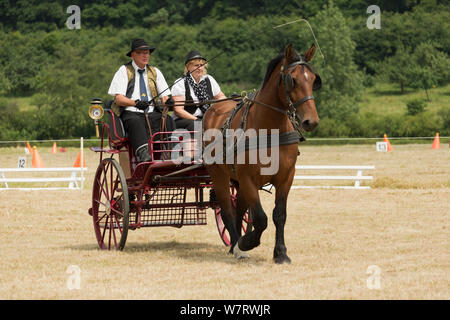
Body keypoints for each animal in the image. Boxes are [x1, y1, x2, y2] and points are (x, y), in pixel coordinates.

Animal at [202, 43, 322, 264]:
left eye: (313, 79)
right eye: (292, 79)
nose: (311, 121)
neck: (270, 129)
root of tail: (213, 109)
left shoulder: (286, 177)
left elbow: (279, 214)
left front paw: (280, 253)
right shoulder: (249, 179)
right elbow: (261, 218)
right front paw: (247, 243)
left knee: (239, 209)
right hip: (219, 175)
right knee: (227, 209)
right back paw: (236, 245)